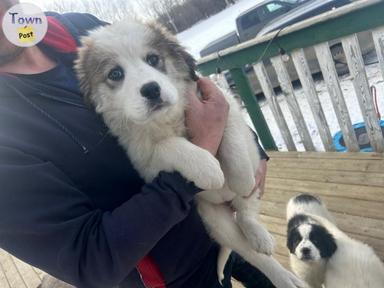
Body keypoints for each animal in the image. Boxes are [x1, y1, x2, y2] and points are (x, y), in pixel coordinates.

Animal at [76, 19, 306, 288]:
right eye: (115, 74)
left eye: (153, 59)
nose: (151, 90)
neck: (169, 118)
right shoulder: (144, 159)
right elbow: (169, 145)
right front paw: (209, 170)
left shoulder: (223, 104)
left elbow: (232, 144)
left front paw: (239, 180)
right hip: (214, 219)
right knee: (250, 249)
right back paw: (281, 275)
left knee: (246, 211)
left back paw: (259, 234)